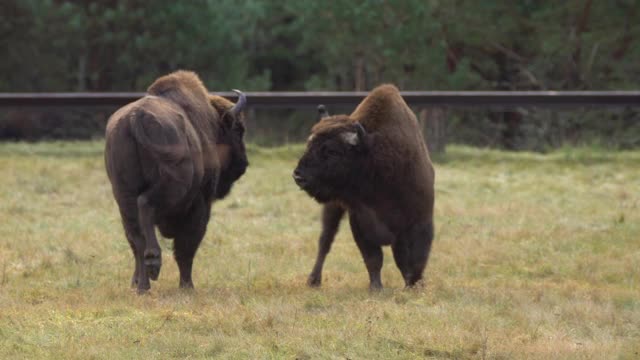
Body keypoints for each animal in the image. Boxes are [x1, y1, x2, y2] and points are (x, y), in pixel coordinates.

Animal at [105, 69, 248, 292]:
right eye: (239, 129)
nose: (243, 164)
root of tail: (137, 117)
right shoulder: (200, 205)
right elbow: (187, 247)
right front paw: (187, 286)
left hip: (123, 195)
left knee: (136, 238)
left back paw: (142, 285)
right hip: (174, 188)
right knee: (146, 206)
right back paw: (154, 264)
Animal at [294, 84, 436, 290]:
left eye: (331, 151)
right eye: (309, 145)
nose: (298, 175)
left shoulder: (418, 222)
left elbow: (412, 259)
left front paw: (415, 286)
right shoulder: (360, 222)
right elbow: (373, 258)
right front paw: (376, 288)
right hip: (333, 207)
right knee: (325, 240)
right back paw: (313, 280)